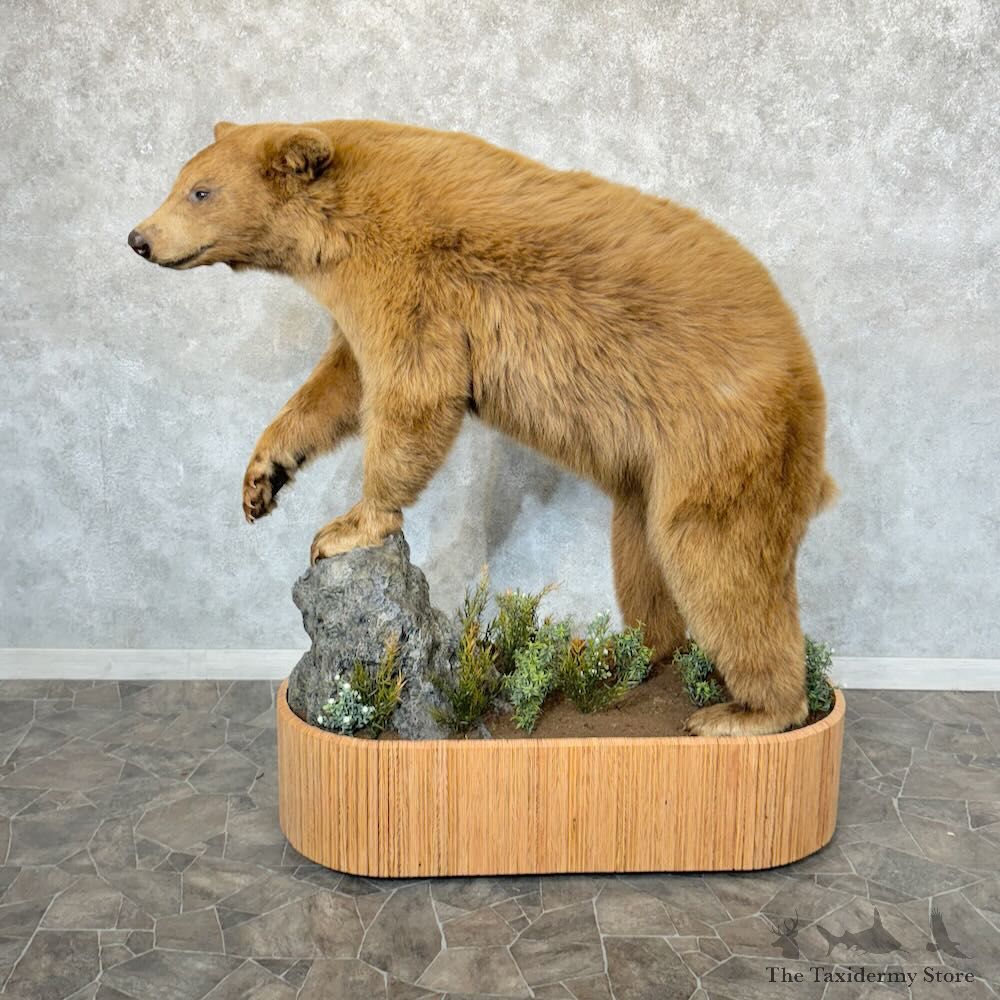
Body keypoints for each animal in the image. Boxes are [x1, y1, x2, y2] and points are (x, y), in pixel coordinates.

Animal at [128, 119, 837, 736]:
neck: (341, 224)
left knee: (716, 560)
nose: (139, 238)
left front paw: (348, 526)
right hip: (655, 466)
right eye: (181, 179)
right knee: (642, 550)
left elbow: (415, 389)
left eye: (200, 191)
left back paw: (747, 712)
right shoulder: (360, 303)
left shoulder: (409, 276)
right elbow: (339, 383)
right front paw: (261, 480)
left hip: (720, 435)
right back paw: (618, 653)